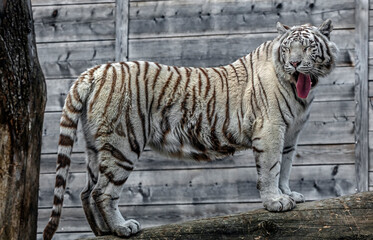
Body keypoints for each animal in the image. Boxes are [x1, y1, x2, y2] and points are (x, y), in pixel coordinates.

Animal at [42, 19, 338, 239]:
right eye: (288, 49)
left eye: (307, 48)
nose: (295, 63)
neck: (300, 89)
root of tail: (93, 71)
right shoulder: (271, 129)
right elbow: (271, 168)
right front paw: (275, 202)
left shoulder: (290, 133)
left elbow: (285, 167)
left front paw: (288, 194)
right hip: (123, 144)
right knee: (103, 192)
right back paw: (122, 228)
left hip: (95, 145)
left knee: (86, 191)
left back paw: (103, 231)